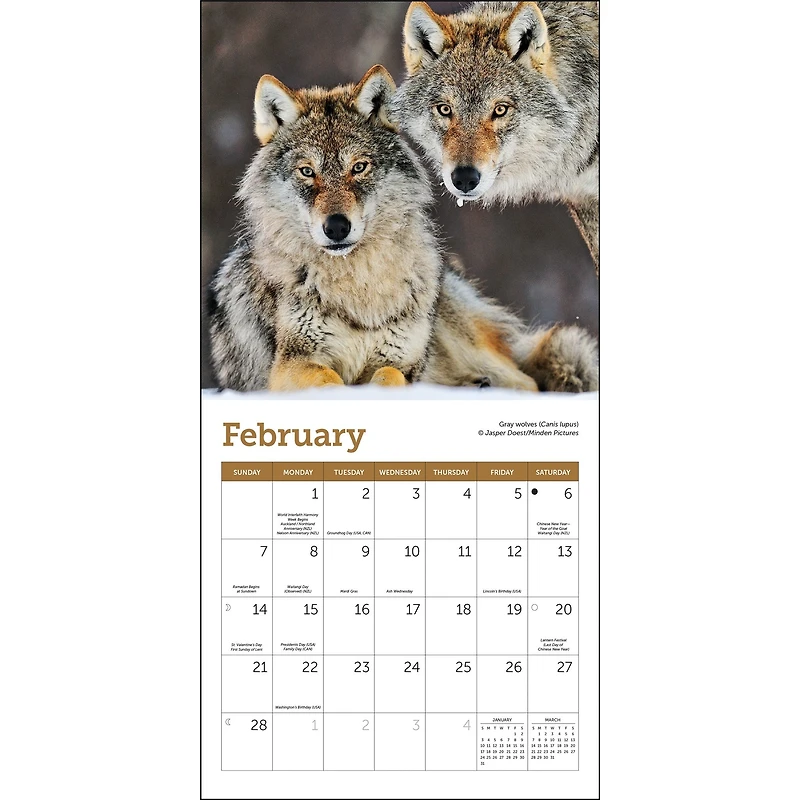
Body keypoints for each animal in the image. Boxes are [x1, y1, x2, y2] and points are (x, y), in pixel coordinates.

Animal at [206, 65, 598, 393]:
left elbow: (389, 377)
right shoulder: (291, 364)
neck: (359, 286)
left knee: (529, 383)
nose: (337, 227)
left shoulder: (400, 361)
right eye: (307, 172)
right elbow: (329, 379)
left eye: (359, 167)